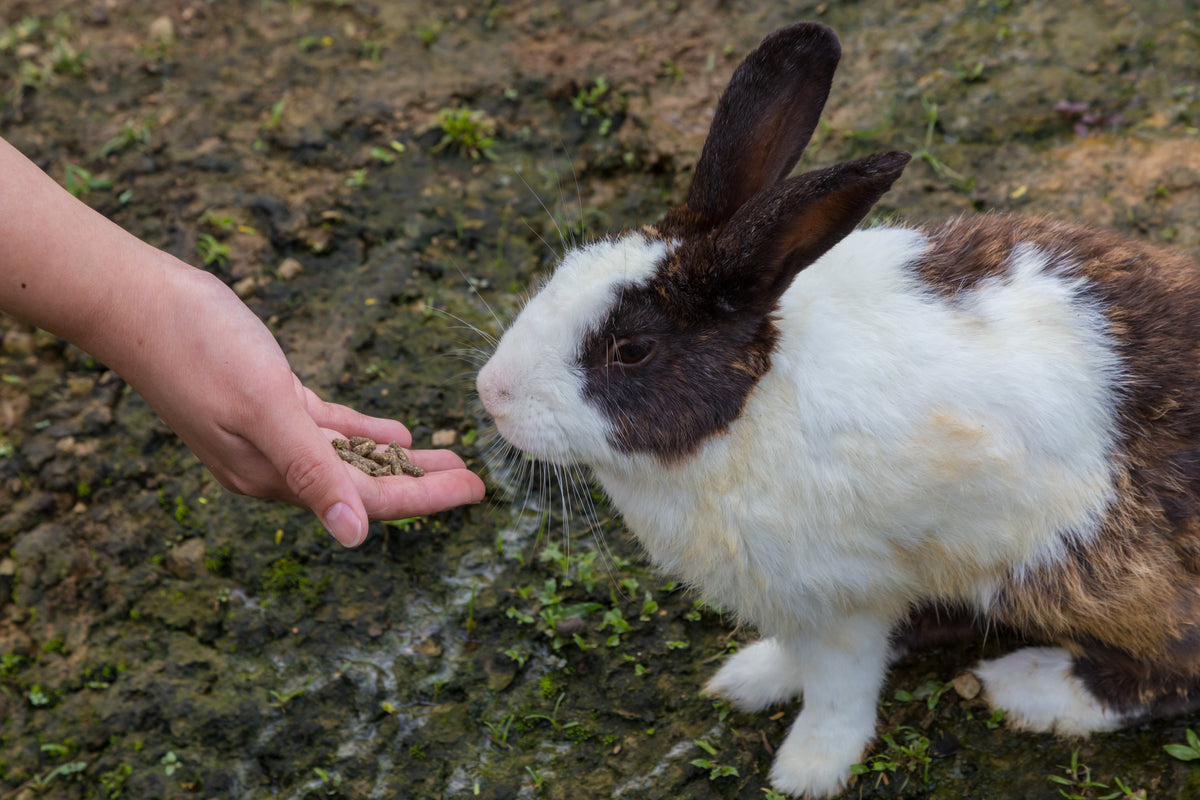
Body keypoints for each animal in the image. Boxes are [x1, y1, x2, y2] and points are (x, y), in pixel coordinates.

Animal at [476, 20, 1200, 799]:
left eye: (632, 350)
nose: (492, 393)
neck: (752, 401)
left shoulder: (836, 599)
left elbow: (838, 687)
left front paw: (808, 768)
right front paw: (753, 677)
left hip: (1079, 571)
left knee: (1172, 668)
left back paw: (1030, 688)